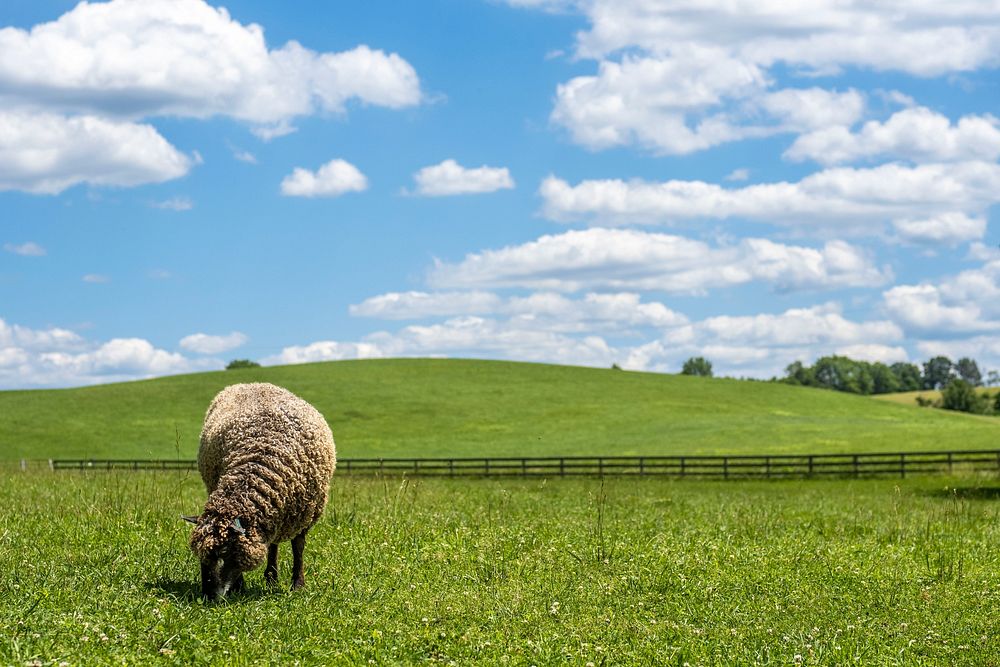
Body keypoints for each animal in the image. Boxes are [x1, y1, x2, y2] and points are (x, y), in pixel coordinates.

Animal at [181, 380, 336, 600]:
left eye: (224, 551)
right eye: (200, 556)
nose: (208, 596)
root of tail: (250, 383)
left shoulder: (306, 512)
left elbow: (298, 547)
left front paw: (298, 585)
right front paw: (239, 586)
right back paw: (270, 577)